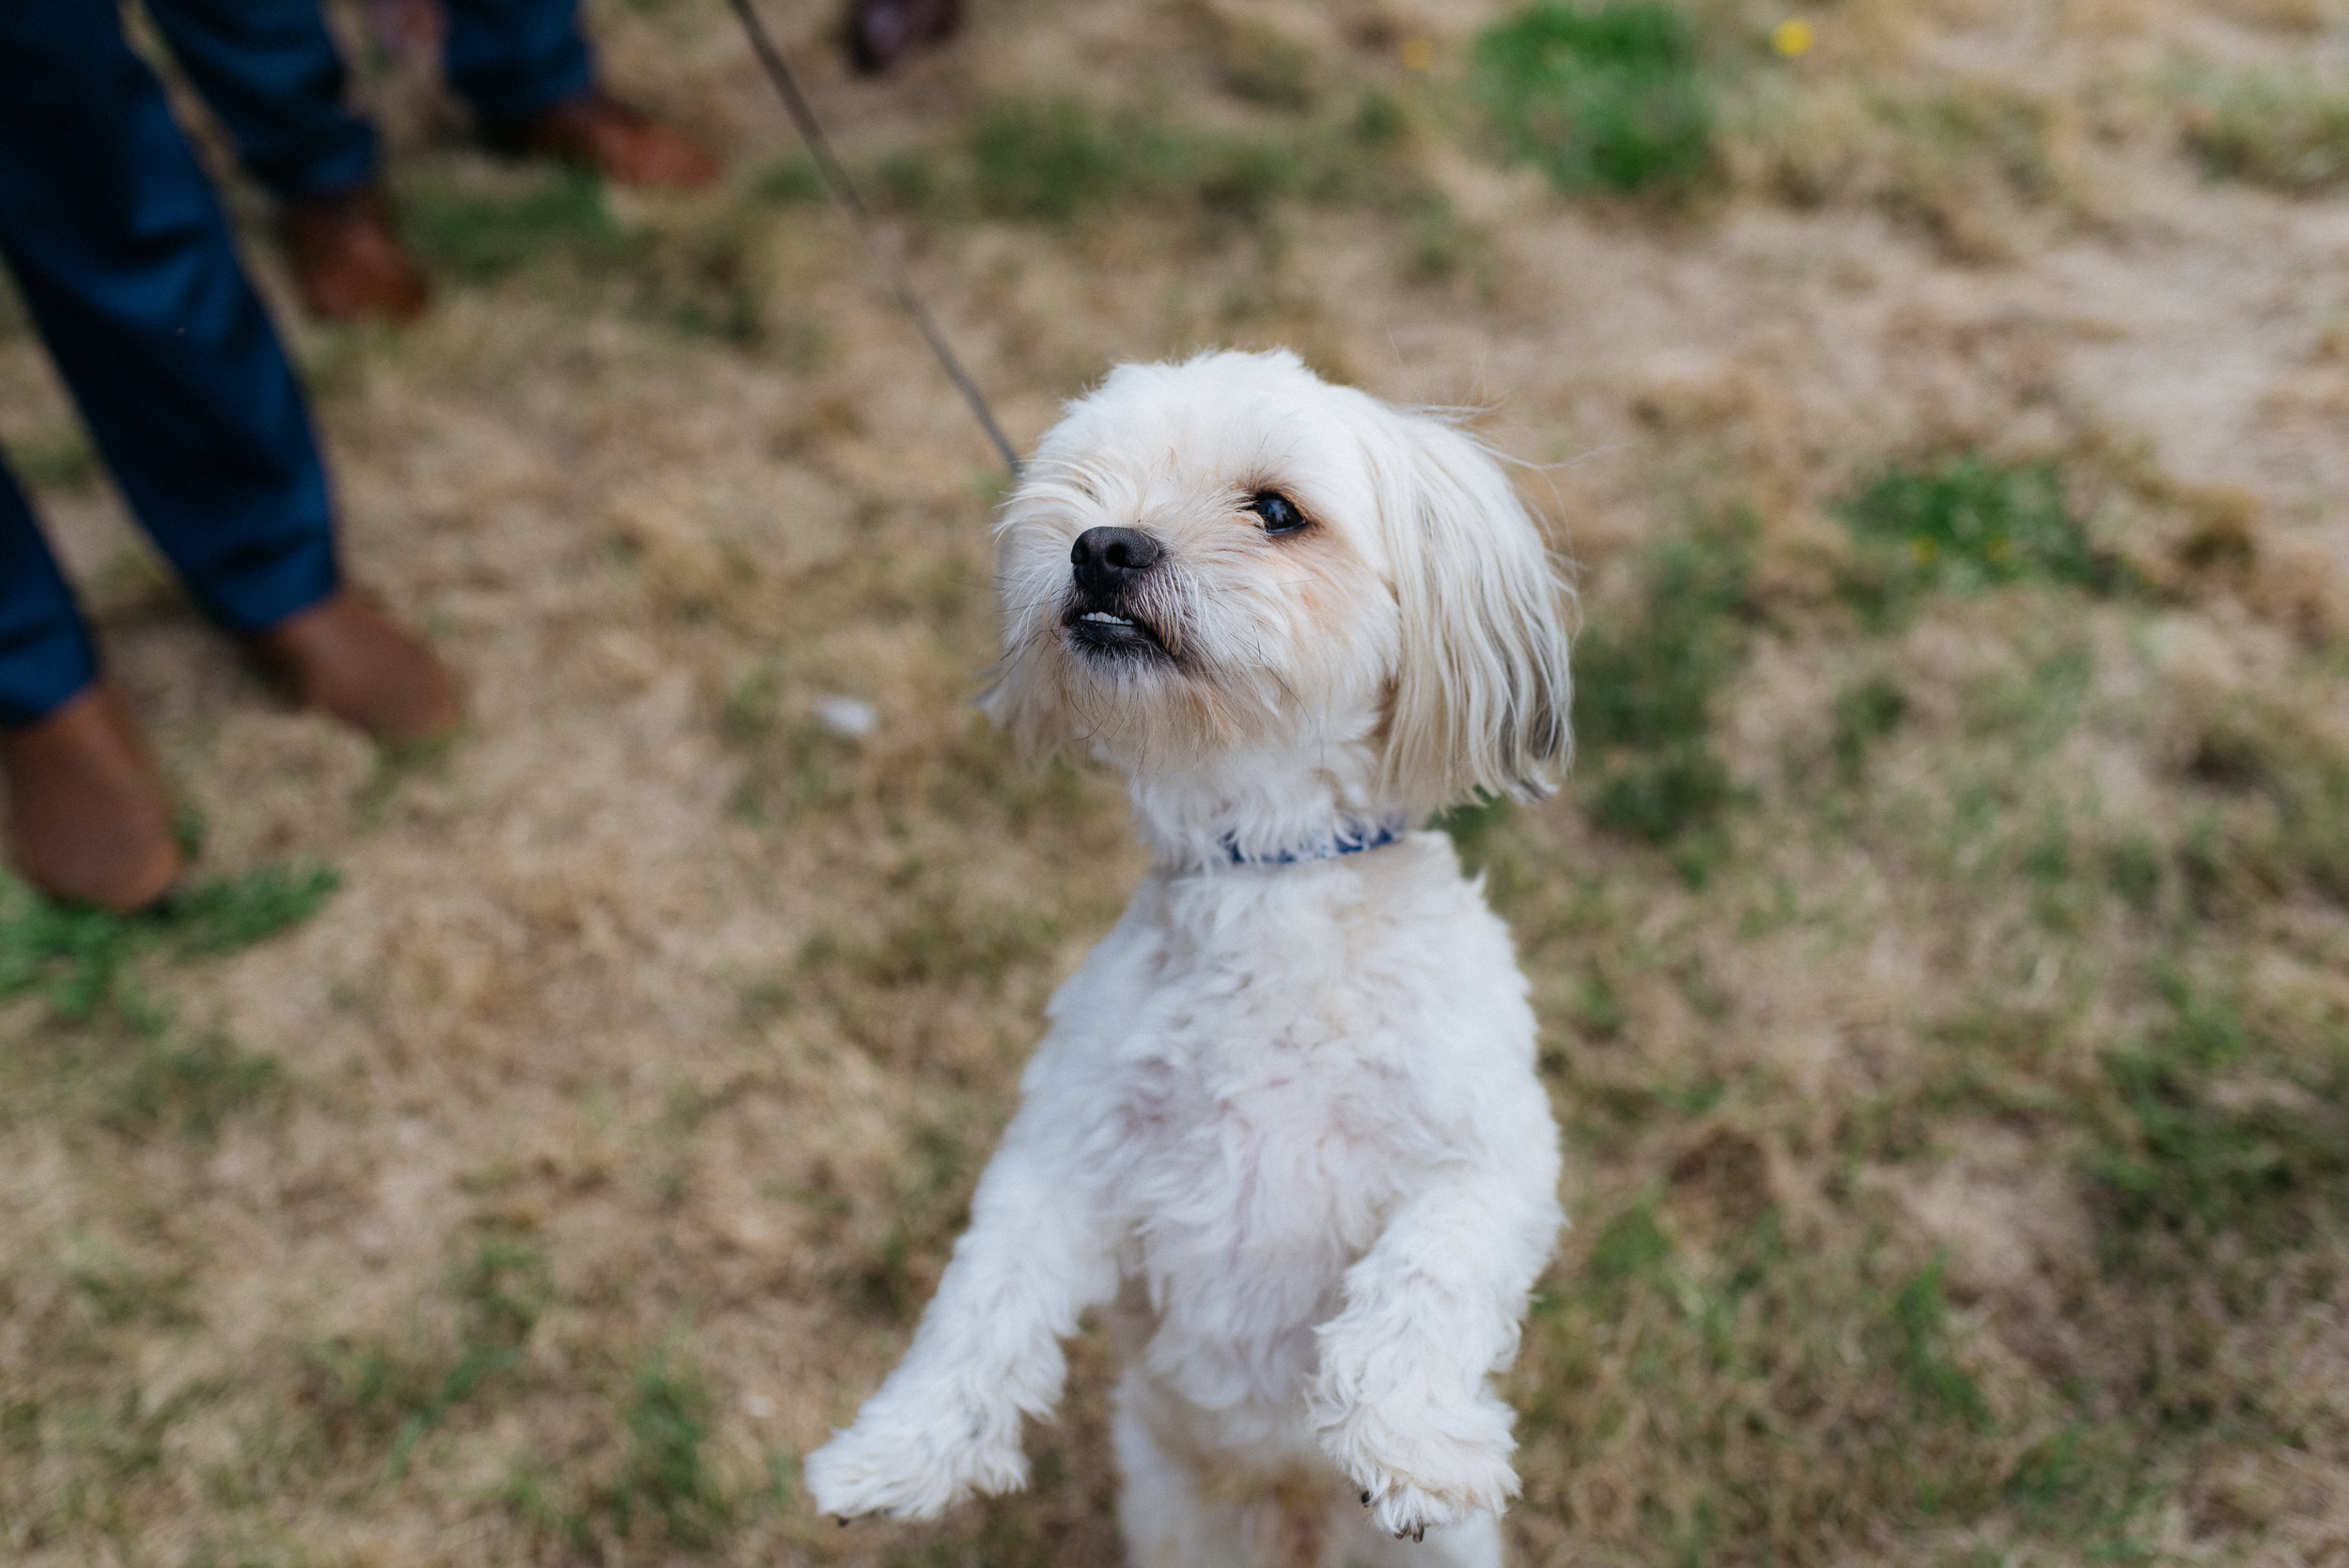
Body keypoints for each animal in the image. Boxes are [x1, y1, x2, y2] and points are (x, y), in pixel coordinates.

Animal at [808, 351, 1579, 1568]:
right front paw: (896, 1449)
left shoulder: (1489, 1157)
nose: (1104, 546)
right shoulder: (1063, 1152)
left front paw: (1410, 1443)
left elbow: (1425, 1275)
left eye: (1276, 510)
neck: (1264, 875)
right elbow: (981, 1301)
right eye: (1087, 483)